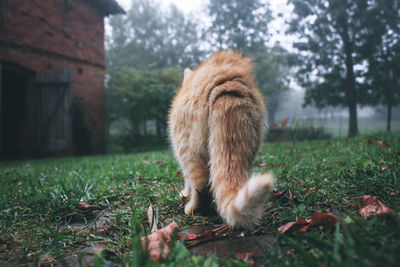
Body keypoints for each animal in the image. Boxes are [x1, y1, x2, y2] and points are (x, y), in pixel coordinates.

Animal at [168, 50, 276, 228]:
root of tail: (227, 85)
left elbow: (187, 180)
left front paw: (184, 194)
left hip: (187, 149)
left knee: (200, 183)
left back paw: (192, 208)